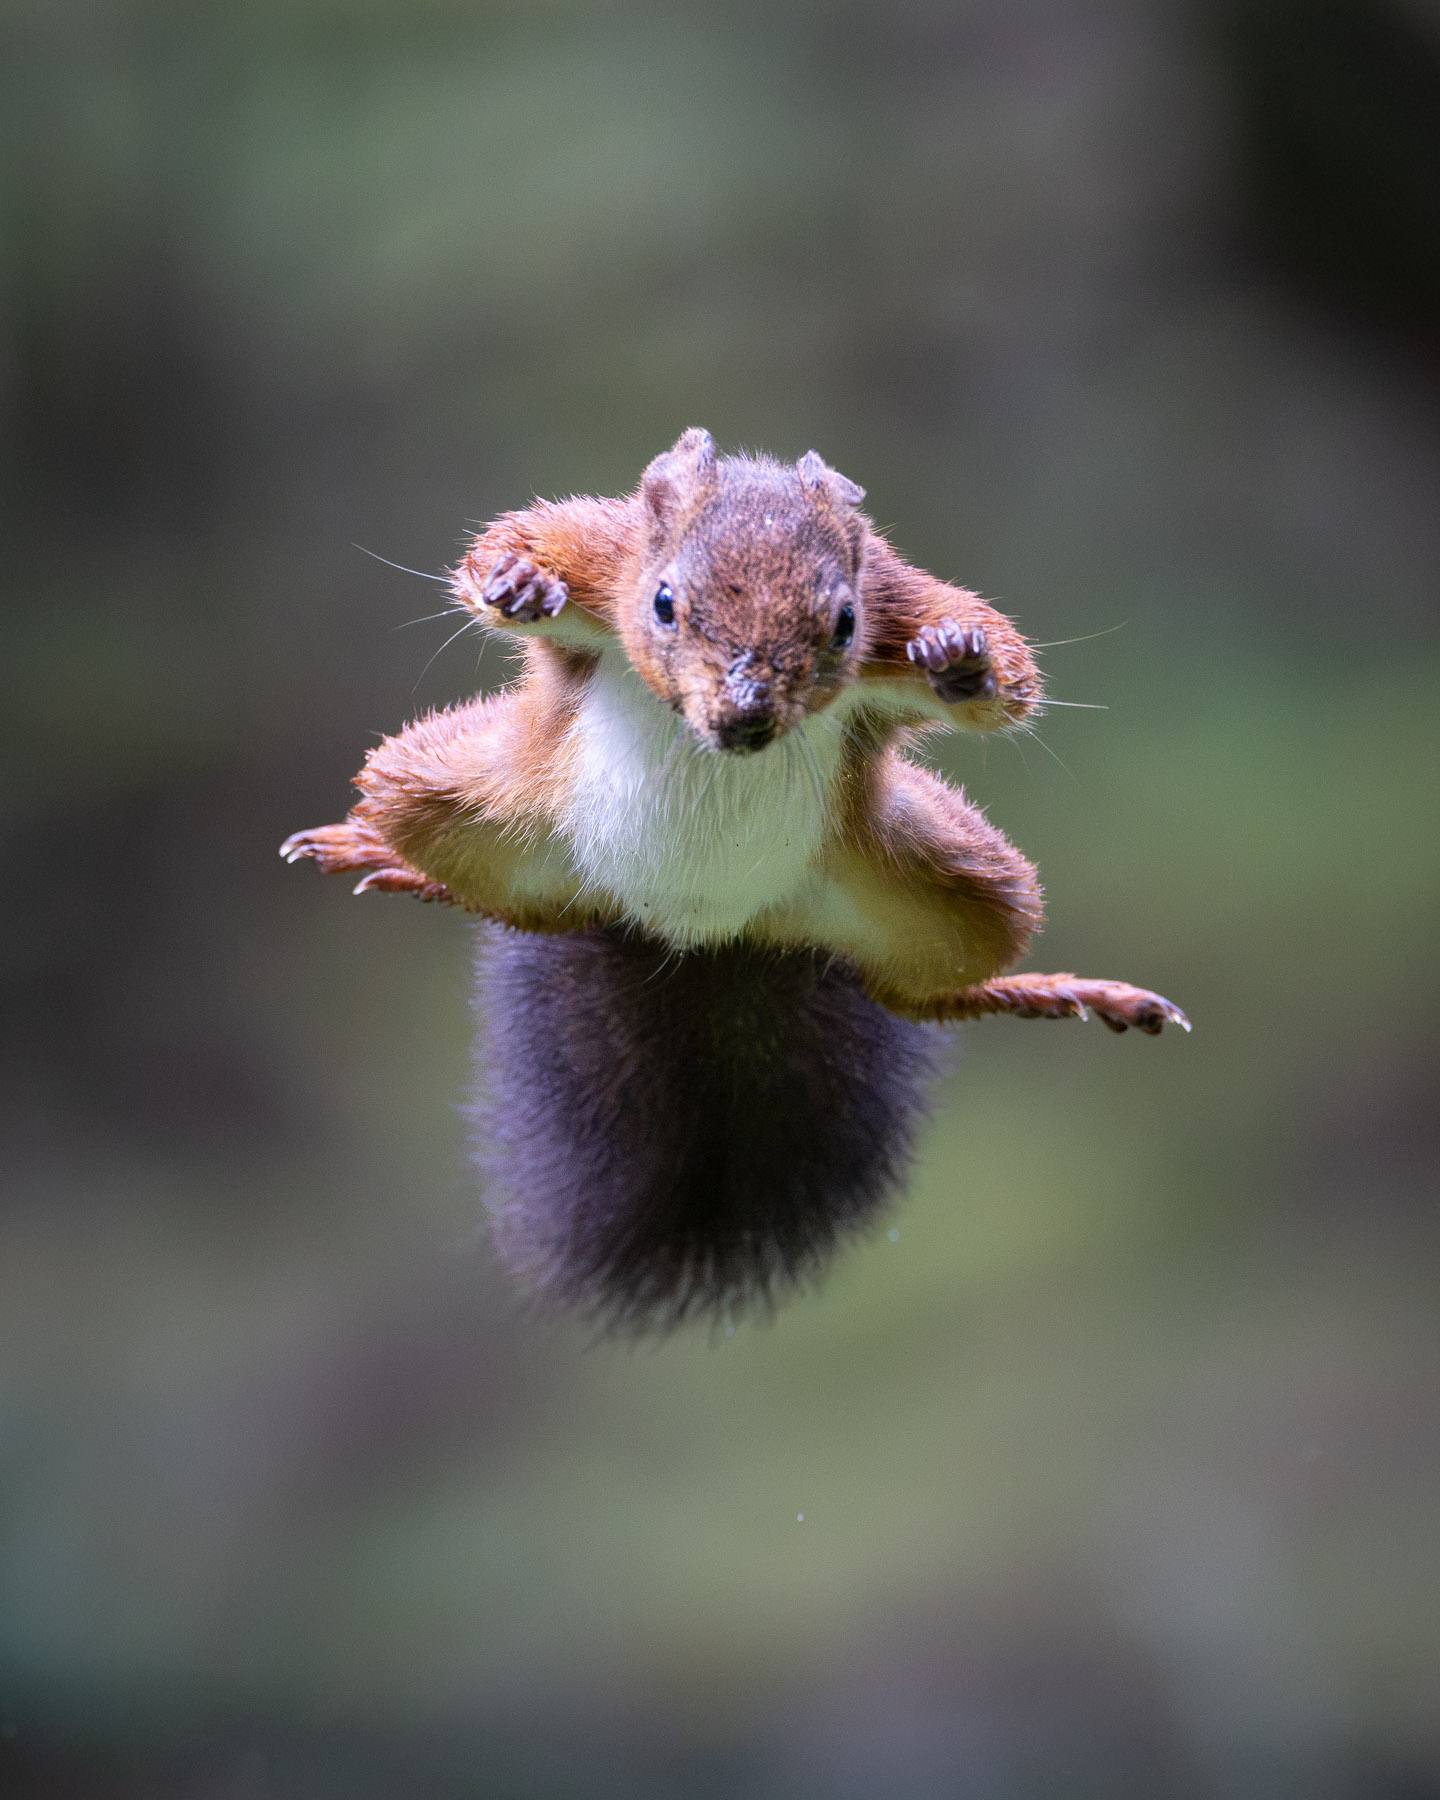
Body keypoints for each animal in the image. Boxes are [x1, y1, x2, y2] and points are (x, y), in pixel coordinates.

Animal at [282, 428, 1188, 1330]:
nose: (746, 713)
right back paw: (385, 859)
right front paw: (519, 582)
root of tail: (705, 934)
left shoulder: (897, 600)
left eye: (844, 623)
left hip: (952, 886)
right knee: (519, 900)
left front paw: (960, 661)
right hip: (449, 789)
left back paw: (1062, 992)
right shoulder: (602, 553)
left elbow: (1010, 680)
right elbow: (502, 551)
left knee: (920, 989)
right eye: (662, 603)